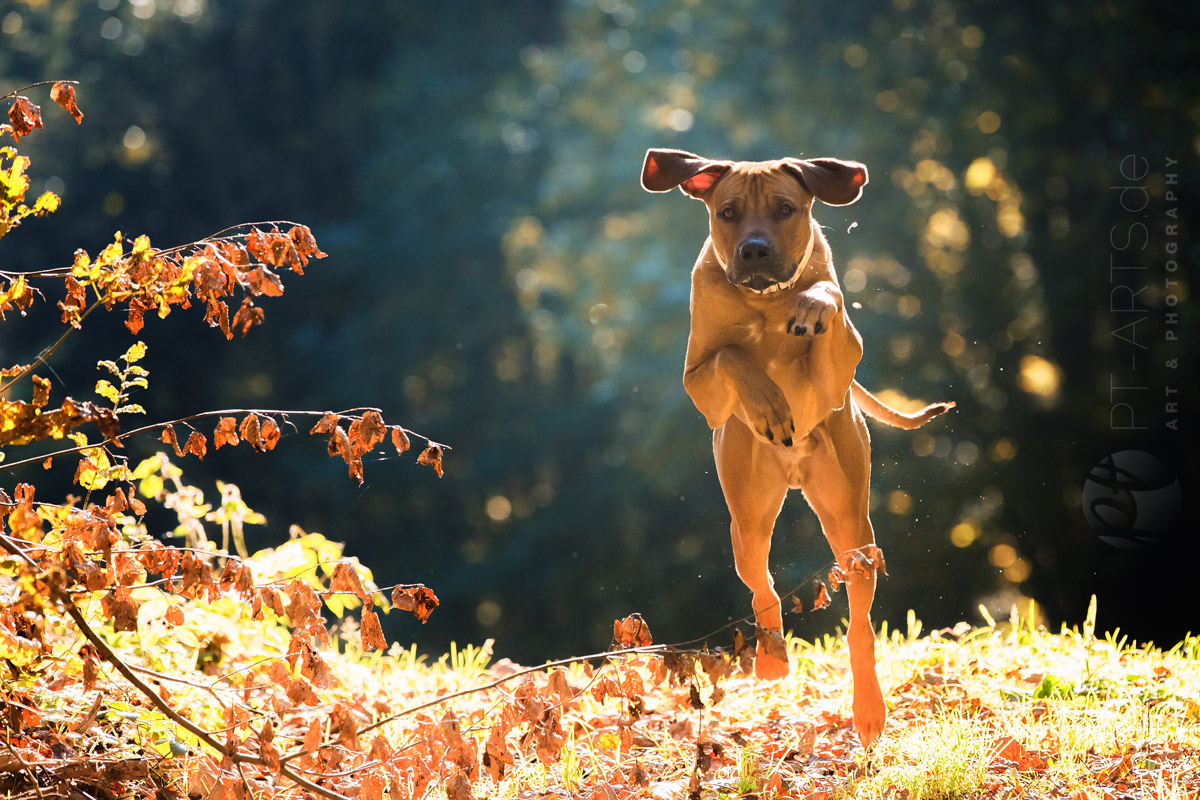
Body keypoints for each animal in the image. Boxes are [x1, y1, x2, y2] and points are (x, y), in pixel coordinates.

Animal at [643, 146, 950, 748]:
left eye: (785, 209)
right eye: (728, 212)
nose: (755, 249)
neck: (766, 300)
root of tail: (793, 471)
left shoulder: (837, 372)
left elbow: (827, 297)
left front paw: (812, 306)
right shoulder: (698, 383)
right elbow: (732, 355)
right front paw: (766, 400)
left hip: (852, 524)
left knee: (860, 624)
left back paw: (868, 708)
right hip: (747, 520)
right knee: (762, 586)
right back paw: (772, 657)